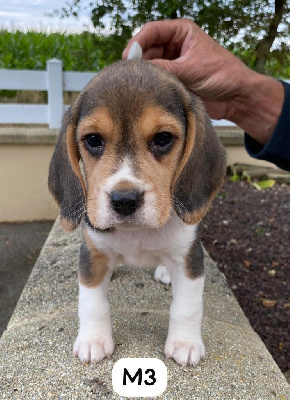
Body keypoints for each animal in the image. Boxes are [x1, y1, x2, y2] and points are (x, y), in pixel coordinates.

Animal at [48, 57, 227, 368]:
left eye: (163, 138)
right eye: (93, 139)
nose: (124, 200)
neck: (137, 233)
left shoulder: (190, 257)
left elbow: (188, 305)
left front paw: (185, 343)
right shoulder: (91, 254)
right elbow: (91, 302)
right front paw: (93, 340)